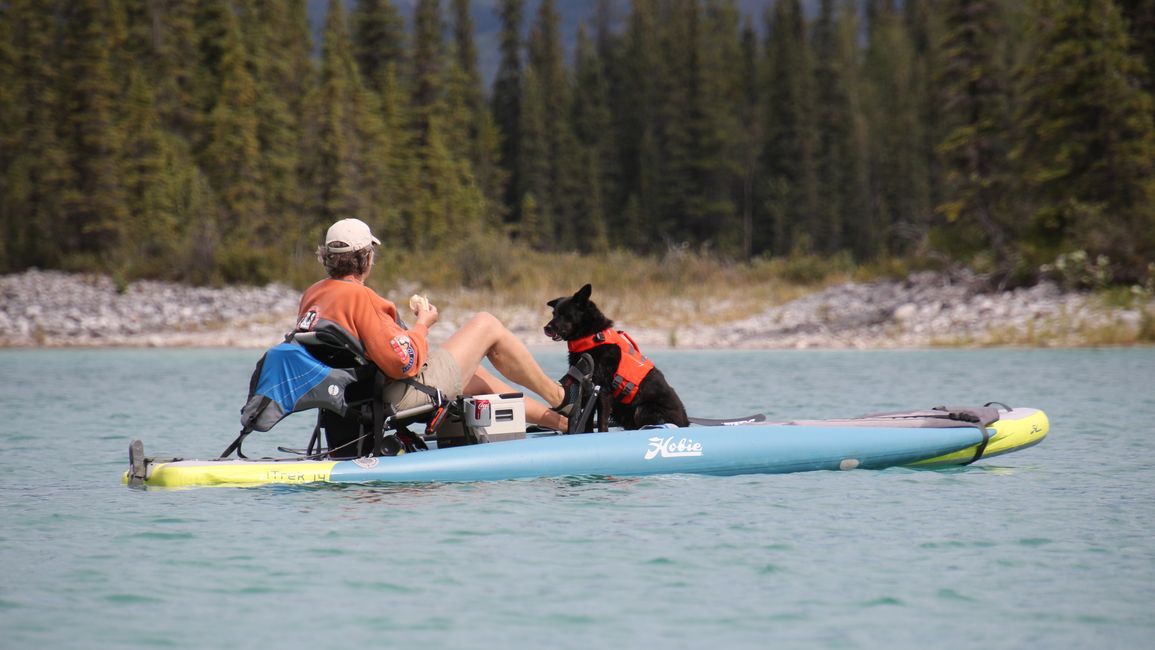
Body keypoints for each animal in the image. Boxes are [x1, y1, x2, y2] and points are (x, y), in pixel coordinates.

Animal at [540, 285, 683, 431]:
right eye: (554, 314)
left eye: (564, 314)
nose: (546, 328)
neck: (592, 337)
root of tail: (686, 421)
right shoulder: (589, 389)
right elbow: (588, 421)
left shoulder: (602, 389)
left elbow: (602, 421)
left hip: (642, 410)